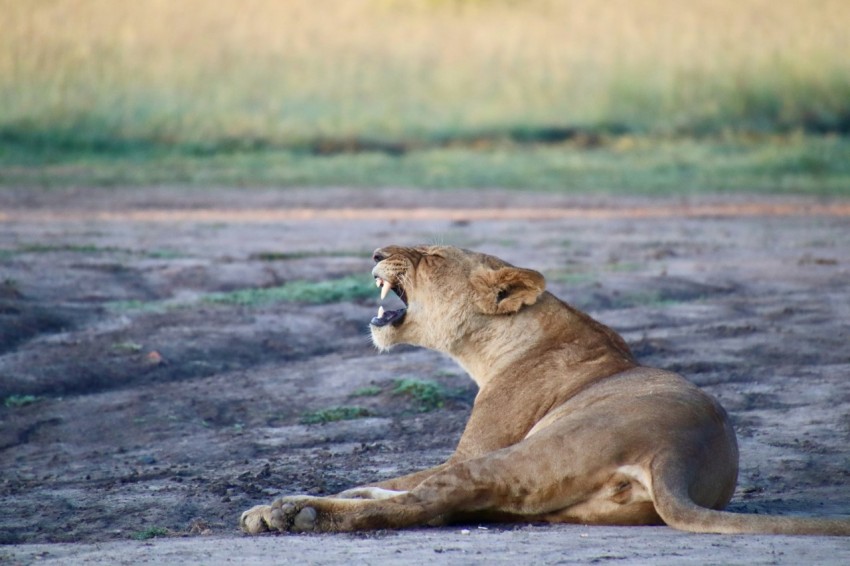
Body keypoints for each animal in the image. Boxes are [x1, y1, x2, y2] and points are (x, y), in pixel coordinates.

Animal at [241, 245, 850, 536]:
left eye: (433, 257)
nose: (373, 255)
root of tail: (679, 455)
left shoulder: (478, 445)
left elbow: (411, 478)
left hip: (529, 453)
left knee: (428, 501)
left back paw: (291, 513)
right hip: (551, 503)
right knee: (447, 504)